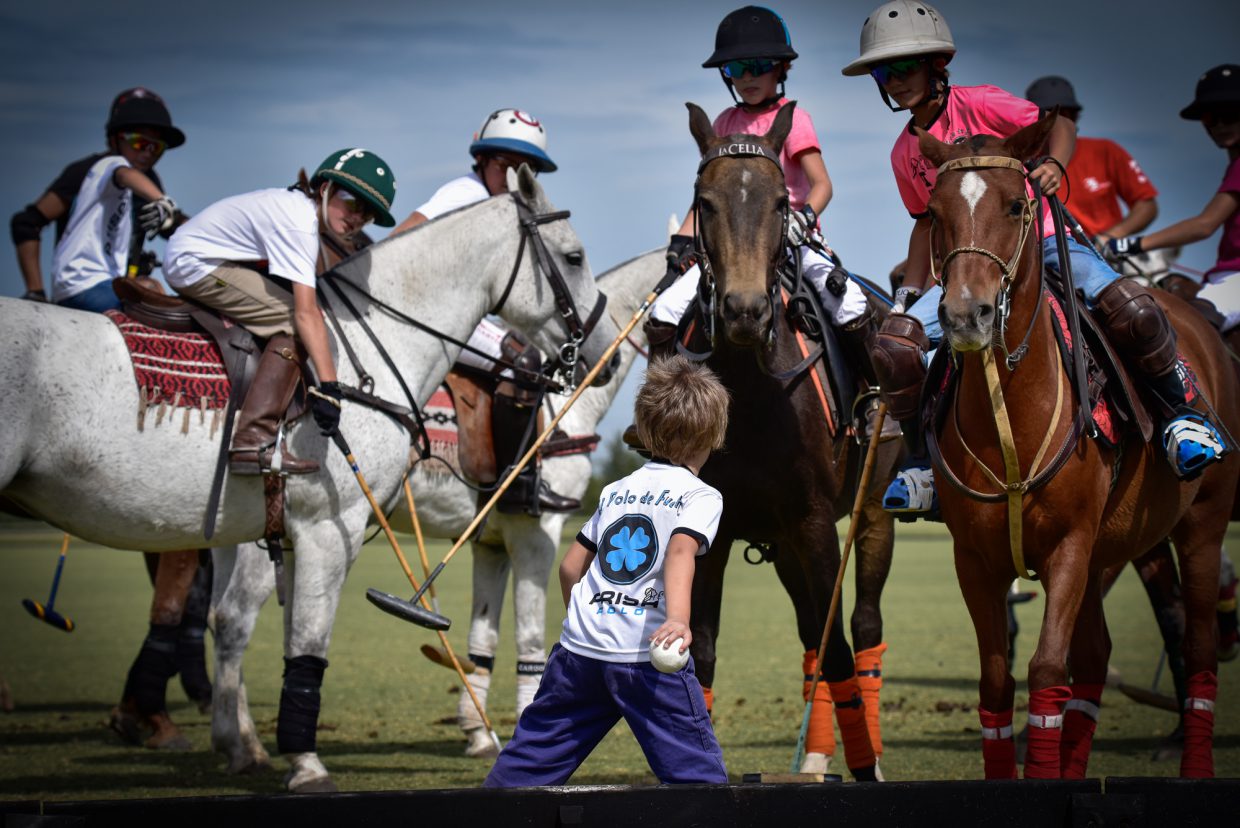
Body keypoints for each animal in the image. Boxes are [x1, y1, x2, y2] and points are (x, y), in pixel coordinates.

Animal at [684, 100, 897, 778]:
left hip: (871, 512)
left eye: (782, 202)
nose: (746, 312)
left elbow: (840, 649)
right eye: (706, 201)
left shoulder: (814, 521)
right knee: (810, 633)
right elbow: (702, 648)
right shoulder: (721, 528)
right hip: (780, 543)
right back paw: (816, 757)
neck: (752, 392)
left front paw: (865, 768)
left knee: (861, 626)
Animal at [927, 113, 1235, 778]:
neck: (1010, 417)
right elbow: (998, 683)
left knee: (1198, 645)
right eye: (933, 213)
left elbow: (1047, 669)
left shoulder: (1069, 544)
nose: (966, 316)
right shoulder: (976, 558)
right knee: (1096, 657)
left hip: (1202, 523)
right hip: (1117, 547)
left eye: (1017, 205)